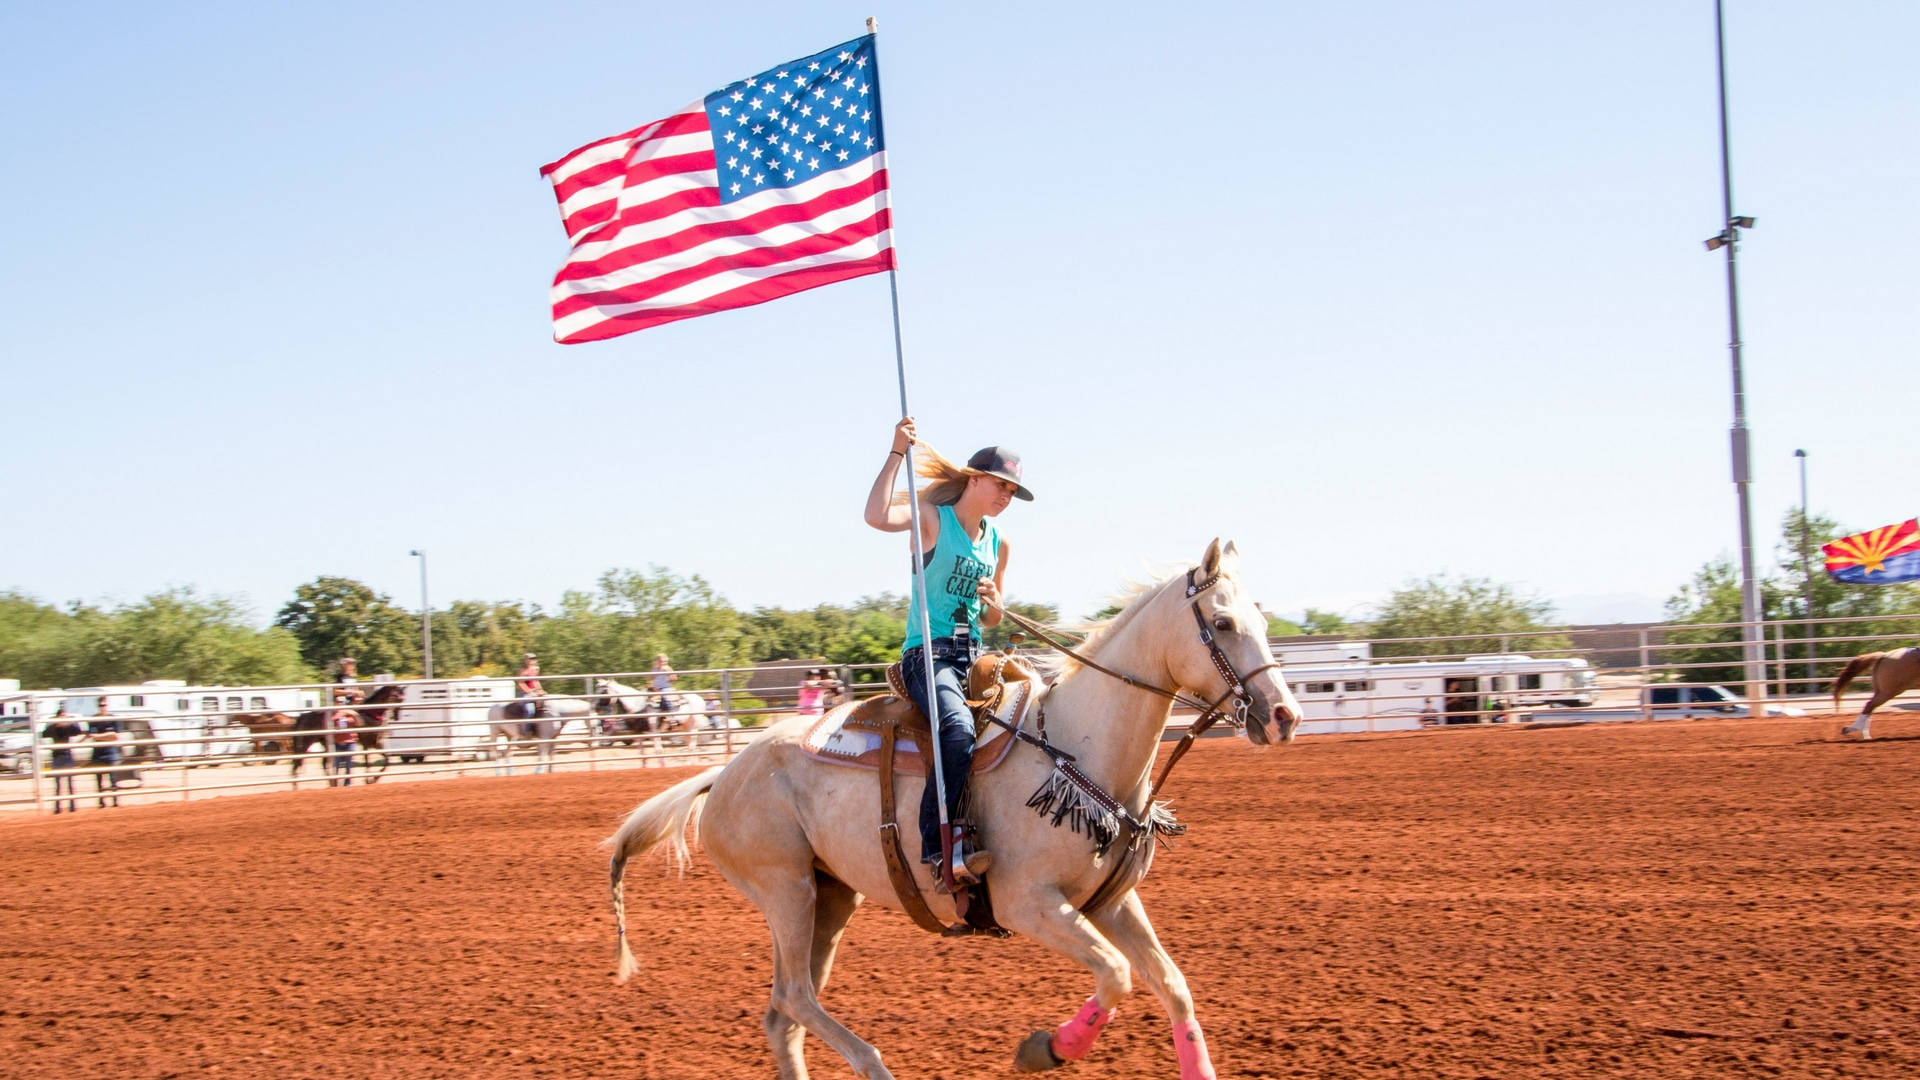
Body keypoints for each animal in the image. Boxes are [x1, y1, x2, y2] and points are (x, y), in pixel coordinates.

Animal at [610, 538, 1305, 1076]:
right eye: (1223, 623)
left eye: (1264, 620)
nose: (1284, 716)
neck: (1074, 742)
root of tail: (723, 774)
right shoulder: (1028, 903)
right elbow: (1115, 975)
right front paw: (1044, 1049)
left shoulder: (1110, 902)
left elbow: (1173, 988)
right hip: (785, 892)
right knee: (797, 998)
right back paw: (876, 1066)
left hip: (830, 896)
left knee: (783, 1016)